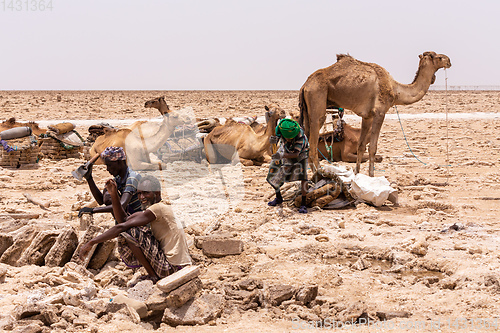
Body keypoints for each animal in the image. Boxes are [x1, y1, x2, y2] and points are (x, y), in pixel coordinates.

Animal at [298, 50, 452, 175]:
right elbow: (373, 147)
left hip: (307, 108)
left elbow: (361, 146)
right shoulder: (380, 112)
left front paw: (357, 174)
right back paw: (318, 174)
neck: (395, 90)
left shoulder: (367, 116)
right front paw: (371, 175)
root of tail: (305, 85)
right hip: (317, 97)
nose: (449, 61)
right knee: (313, 142)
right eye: (437, 57)